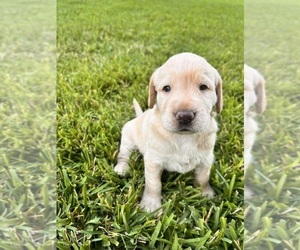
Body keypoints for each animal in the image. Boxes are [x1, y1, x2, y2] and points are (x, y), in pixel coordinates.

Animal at [113, 53, 221, 213]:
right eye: (167, 88)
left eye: (203, 87)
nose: (184, 116)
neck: (183, 138)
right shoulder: (153, 161)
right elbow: (153, 184)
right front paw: (151, 205)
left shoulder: (206, 158)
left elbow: (203, 178)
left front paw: (206, 194)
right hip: (127, 137)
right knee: (123, 154)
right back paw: (122, 168)